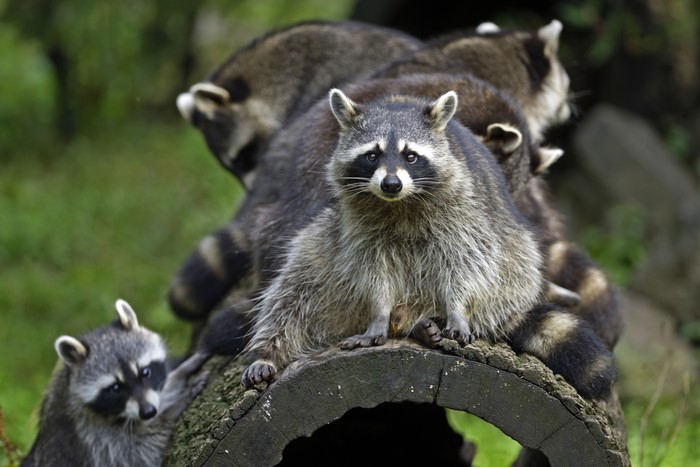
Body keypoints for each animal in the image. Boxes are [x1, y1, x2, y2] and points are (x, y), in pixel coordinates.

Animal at [21, 299, 209, 467]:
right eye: (115, 388)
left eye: (145, 372)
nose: (148, 412)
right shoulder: (90, 434)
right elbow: (140, 449)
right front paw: (173, 409)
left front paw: (181, 371)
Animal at [239, 89, 616, 400]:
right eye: (372, 155)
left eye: (411, 156)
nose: (391, 184)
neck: (398, 202)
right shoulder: (356, 222)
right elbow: (371, 268)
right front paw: (379, 313)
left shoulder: (465, 213)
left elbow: (466, 261)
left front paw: (457, 309)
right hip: (326, 247)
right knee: (296, 286)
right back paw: (270, 351)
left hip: (515, 258)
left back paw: (429, 320)